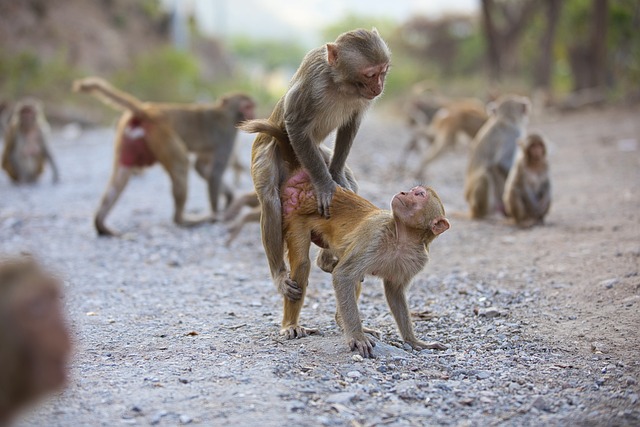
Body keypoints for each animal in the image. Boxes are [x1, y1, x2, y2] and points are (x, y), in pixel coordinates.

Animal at [72, 77, 255, 237]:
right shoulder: (227, 135)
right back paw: (183, 220)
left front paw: (229, 198)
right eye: (247, 106)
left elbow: (202, 168)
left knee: (121, 175)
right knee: (181, 164)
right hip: (162, 134)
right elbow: (214, 172)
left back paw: (101, 225)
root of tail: (147, 111)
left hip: (126, 135)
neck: (226, 112)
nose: (253, 114)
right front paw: (216, 213)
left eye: (252, 106)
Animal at [242, 119, 448, 358]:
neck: (401, 237)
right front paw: (357, 337)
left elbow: (394, 291)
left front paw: (414, 341)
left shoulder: (417, 258)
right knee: (306, 265)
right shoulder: (375, 234)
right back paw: (292, 324)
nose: (403, 193)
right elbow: (343, 276)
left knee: (352, 274)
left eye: (419, 195)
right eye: (413, 191)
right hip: (295, 217)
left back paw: (341, 318)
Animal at [249, 28, 390, 302]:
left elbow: (351, 124)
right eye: (370, 74)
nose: (379, 87)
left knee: (350, 183)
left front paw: (334, 175)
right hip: (269, 151)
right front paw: (325, 185)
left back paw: (326, 260)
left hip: (316, 156)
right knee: (270, 200)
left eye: (384, 71)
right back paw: (279, 274)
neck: (340, 83)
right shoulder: (312, 84)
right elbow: (295, 124)